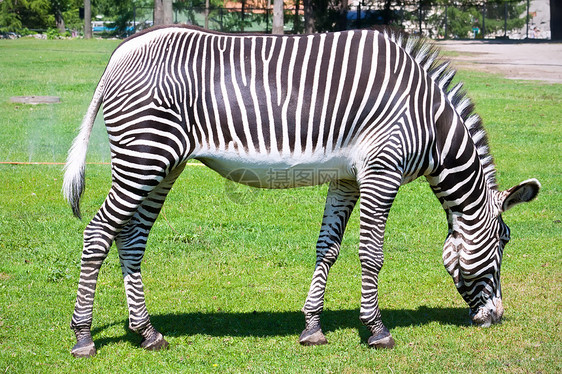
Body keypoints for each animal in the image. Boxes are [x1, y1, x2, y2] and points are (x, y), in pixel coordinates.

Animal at [63, 24, 540, 358]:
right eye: (505, 240)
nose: (496, 319)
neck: (429, 123)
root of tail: (122, 49)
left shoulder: (347, 177)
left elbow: (328, 248)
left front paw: (312, 328)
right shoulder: (381, 170)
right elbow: (371, 253)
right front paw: (378, 331)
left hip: (164, 164)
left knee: (130, 239)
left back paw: (147, 333)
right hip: (145, 155)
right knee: (98, 233)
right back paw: (84, 336)